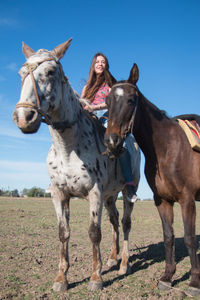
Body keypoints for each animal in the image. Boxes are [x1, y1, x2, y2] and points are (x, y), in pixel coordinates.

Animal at [12, 38, 141, 292]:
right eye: (21, 73)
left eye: (51, 72)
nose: (24, 117)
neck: (68, 148)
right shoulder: (59, 194)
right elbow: (63, 233)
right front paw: (61, 279)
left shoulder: (94, 193)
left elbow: (94, 233)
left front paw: (95, 278)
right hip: (110, 196)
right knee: (114, 220)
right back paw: (112, 258)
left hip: (127, 191)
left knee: (126, 222)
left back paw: (124, 264)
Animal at [104, 62, 200, 296]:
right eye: (107, 101)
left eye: (131, 99)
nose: (111, 141)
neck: (167, 148)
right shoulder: (162, 200)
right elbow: (168, 237)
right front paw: (167, 277)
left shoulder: (187, 200)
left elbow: (190, 238)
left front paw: (194, 282)